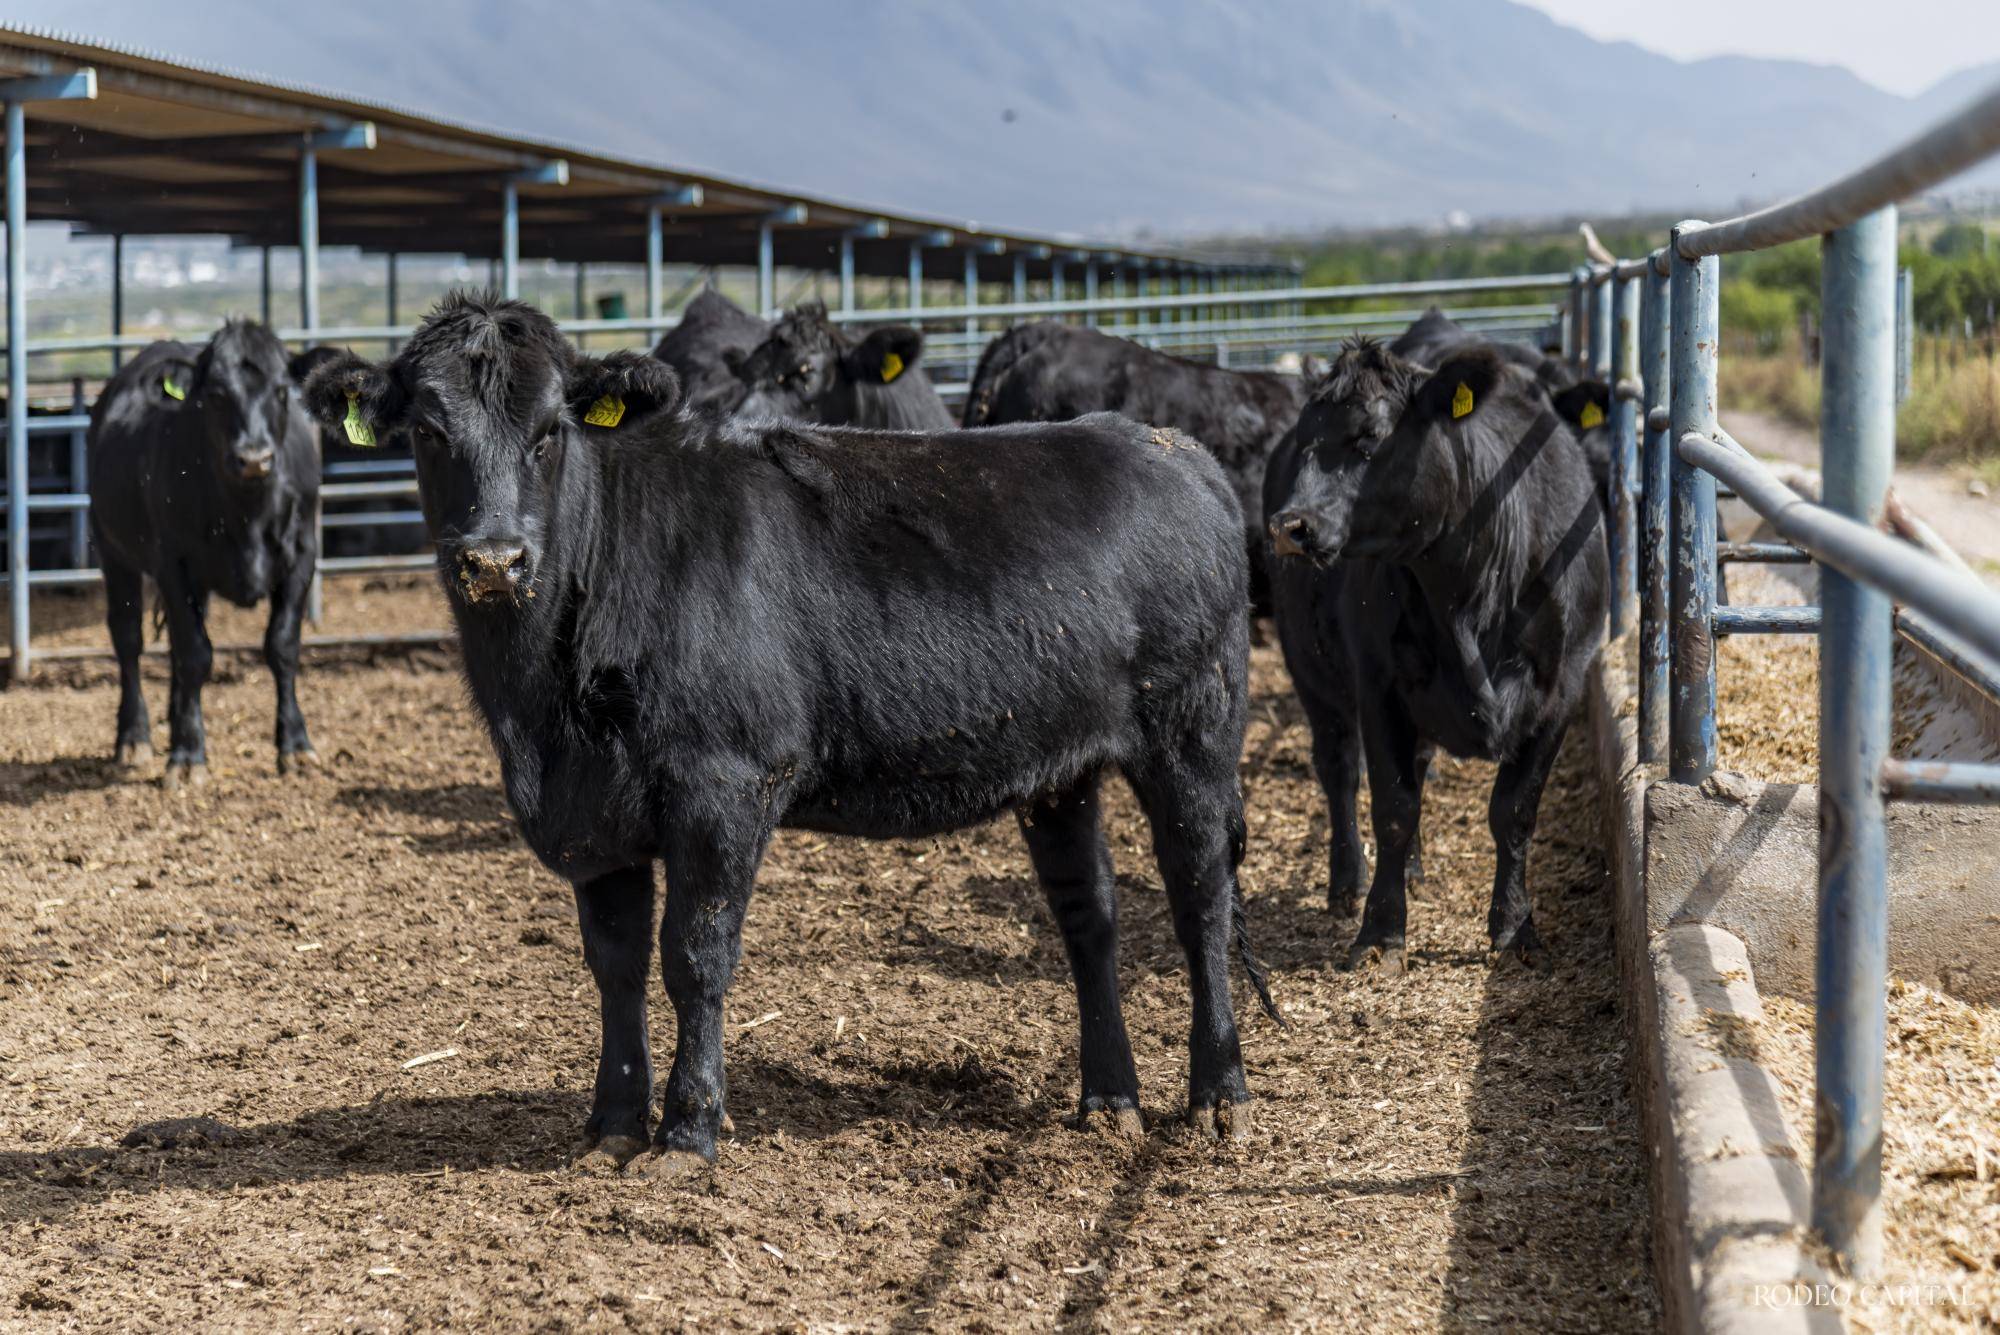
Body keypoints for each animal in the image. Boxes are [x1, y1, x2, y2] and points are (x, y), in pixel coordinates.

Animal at [89, 319, 324, 787]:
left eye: (281, 391)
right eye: (215, 394)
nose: (253, 458)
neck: (247, 512)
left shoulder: (302, 556)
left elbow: (282, 646)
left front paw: (294, 745)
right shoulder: (173, 565)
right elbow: (196, 655)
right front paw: (187, 755)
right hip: (113, 551)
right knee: (129, 639)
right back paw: (134, 737)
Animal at [1264, 339, 1608, 971]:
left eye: (1370, 438)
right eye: (1306, 438)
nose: (1289, 526)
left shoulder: (1562, 690)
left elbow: (1514, 810)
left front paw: (1514, 927)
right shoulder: (1378, 685)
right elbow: (1394, 808)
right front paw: (1380, 931)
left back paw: (1414, 870)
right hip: (1308, 666)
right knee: (1339, 769)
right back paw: (1348, 881)